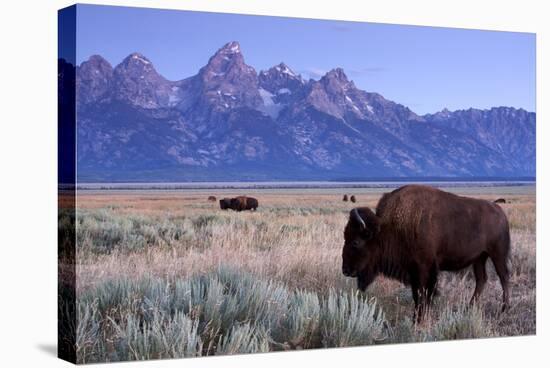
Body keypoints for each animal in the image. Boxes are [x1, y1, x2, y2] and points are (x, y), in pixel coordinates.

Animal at [342, 185, 516, 320]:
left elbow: (423, 295)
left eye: (356, 242)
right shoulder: (413, 271)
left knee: (503, 277)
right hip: (479, 258)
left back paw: (504, 309)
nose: (345, 270)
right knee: (481, 279)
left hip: (497, 254)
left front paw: (419, 319)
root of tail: (500, 212)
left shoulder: (425, 268)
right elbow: (417, 295)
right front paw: (416, 318)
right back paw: (469, 308)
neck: (389, 228)